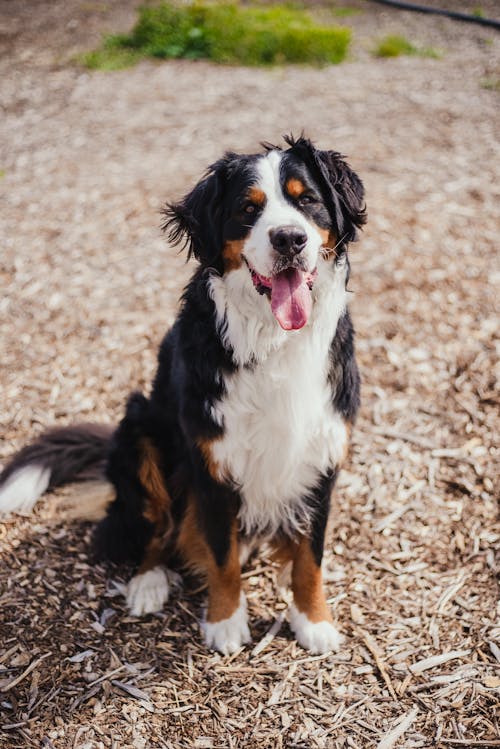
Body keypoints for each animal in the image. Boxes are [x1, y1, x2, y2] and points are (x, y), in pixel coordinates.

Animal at [0, 134, 368, 656]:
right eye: (248, 209)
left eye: (307, 201)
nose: (289, 239)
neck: (273, 339)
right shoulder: (212, 461)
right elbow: (222, 553)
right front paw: (225, 622)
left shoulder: (322, 451)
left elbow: (310, 557)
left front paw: (313, 620)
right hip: (141, 433)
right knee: (154, 528)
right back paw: (148, 583)